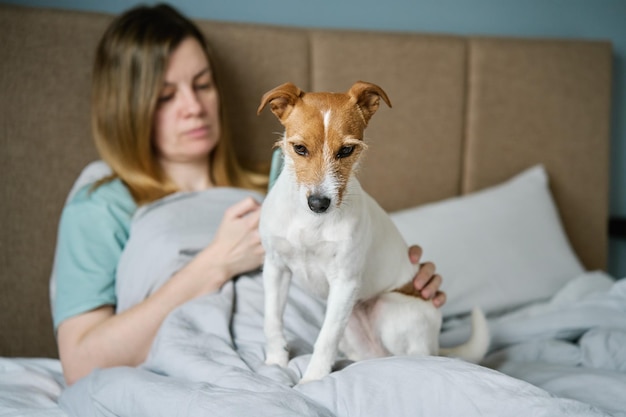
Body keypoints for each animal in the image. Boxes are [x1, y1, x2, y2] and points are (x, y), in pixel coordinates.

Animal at [255, 79, 488, 382]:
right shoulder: (275, 268)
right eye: (300, 148)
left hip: (389, 309)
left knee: (418, 358)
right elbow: (272, 321)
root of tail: (437, 344)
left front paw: (313, 380)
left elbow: (325, 339)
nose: (318, 203)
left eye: (346, 151)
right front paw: (275, 363)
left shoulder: (344, 283)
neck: (310, 223)